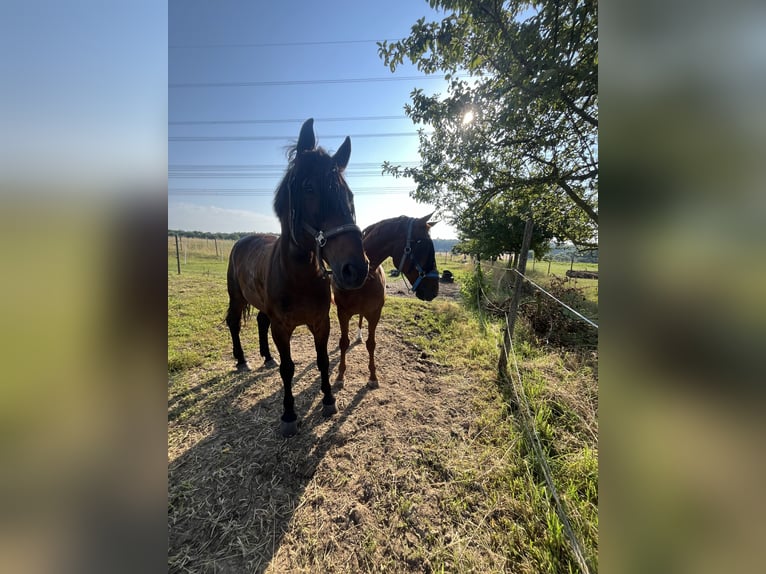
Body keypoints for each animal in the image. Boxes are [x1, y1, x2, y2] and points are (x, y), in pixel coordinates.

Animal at [226, 119, 370, 438]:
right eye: (308, 187)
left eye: (350, 195)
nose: (356, 269)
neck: (299, 276)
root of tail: (243, 240)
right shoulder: (282, 328)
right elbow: (289, 368)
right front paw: (289, 416)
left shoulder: (321, 322)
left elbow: (322, 360)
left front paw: (328, 401)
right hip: (236, 296)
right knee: (233, 323)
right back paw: (243, 360)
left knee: (259, 322)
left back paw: (266, 357)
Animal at [332, 216, 440, 392]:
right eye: (422, 244)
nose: (434, 290)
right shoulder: (342, 313)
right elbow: (343, 343)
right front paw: (340, 376)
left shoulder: (375, 313)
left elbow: (371, 344)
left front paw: (373, 377)